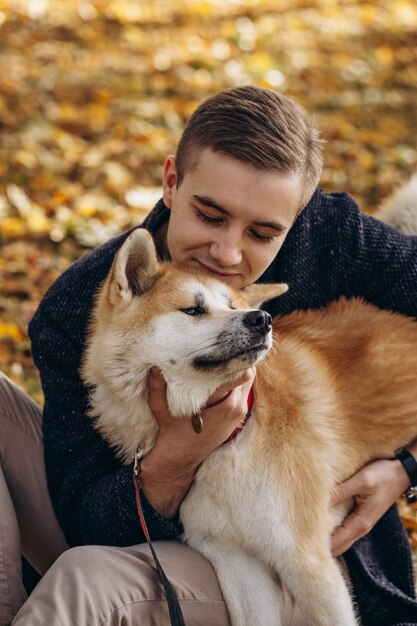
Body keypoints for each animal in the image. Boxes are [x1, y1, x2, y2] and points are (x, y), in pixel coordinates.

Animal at [81, 228, 416, 624]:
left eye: (234, 306)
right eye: (193, 310)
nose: (261, 318)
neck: (229, 440)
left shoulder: (306, 561)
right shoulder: (235, 560)